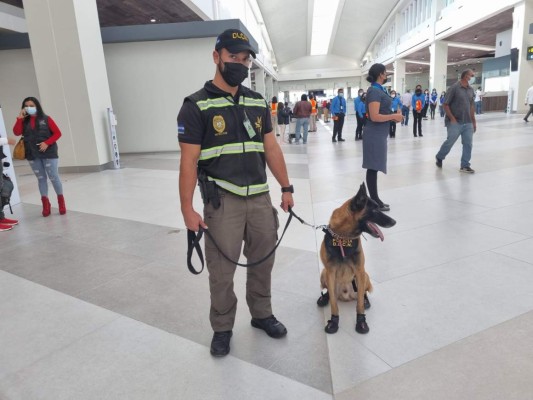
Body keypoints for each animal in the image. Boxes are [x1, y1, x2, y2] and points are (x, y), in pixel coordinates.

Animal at [316, 184, 394, 334]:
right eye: (374, 209)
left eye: (378, 207)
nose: (394, 222)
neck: (343, 237)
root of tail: (346, 295)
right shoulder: (330, 272)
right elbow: (333, 303)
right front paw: (333, 321)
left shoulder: (359, 270)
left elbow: (359, 304)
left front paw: (361, 322)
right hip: (324, 273)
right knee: (329, 291)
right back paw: (324, 298)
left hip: (364, 275)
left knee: (362, 293)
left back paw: (366, 300)